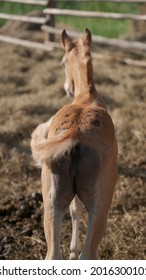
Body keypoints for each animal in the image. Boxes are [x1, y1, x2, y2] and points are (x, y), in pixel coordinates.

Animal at [30, 29, 117, 260]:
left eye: (62, 63)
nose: (67, 88)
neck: (85, 97)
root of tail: (76, 131)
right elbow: (77, 210)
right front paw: (72, 249)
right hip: (100, 206)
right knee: (87, 254)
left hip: (52, 202)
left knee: (52, 254)